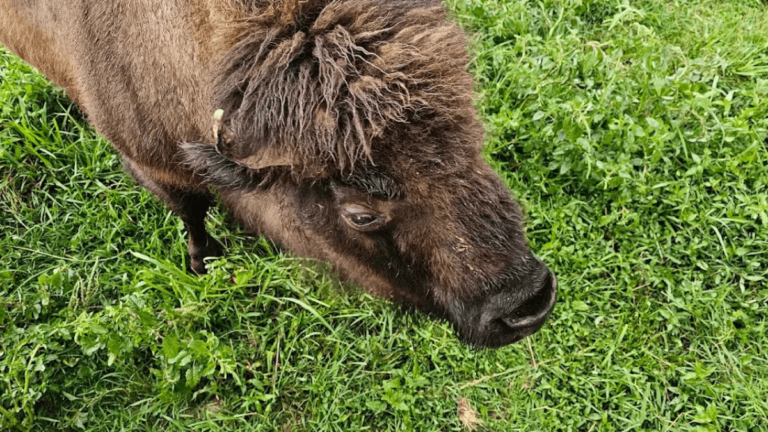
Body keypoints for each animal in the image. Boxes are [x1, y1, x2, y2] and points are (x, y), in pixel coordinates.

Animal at [0, 0, 556, 347]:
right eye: (359, 214)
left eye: (471, 134)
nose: (527, 302)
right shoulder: (152, 165)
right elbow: (192, 213)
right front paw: (203, 263)